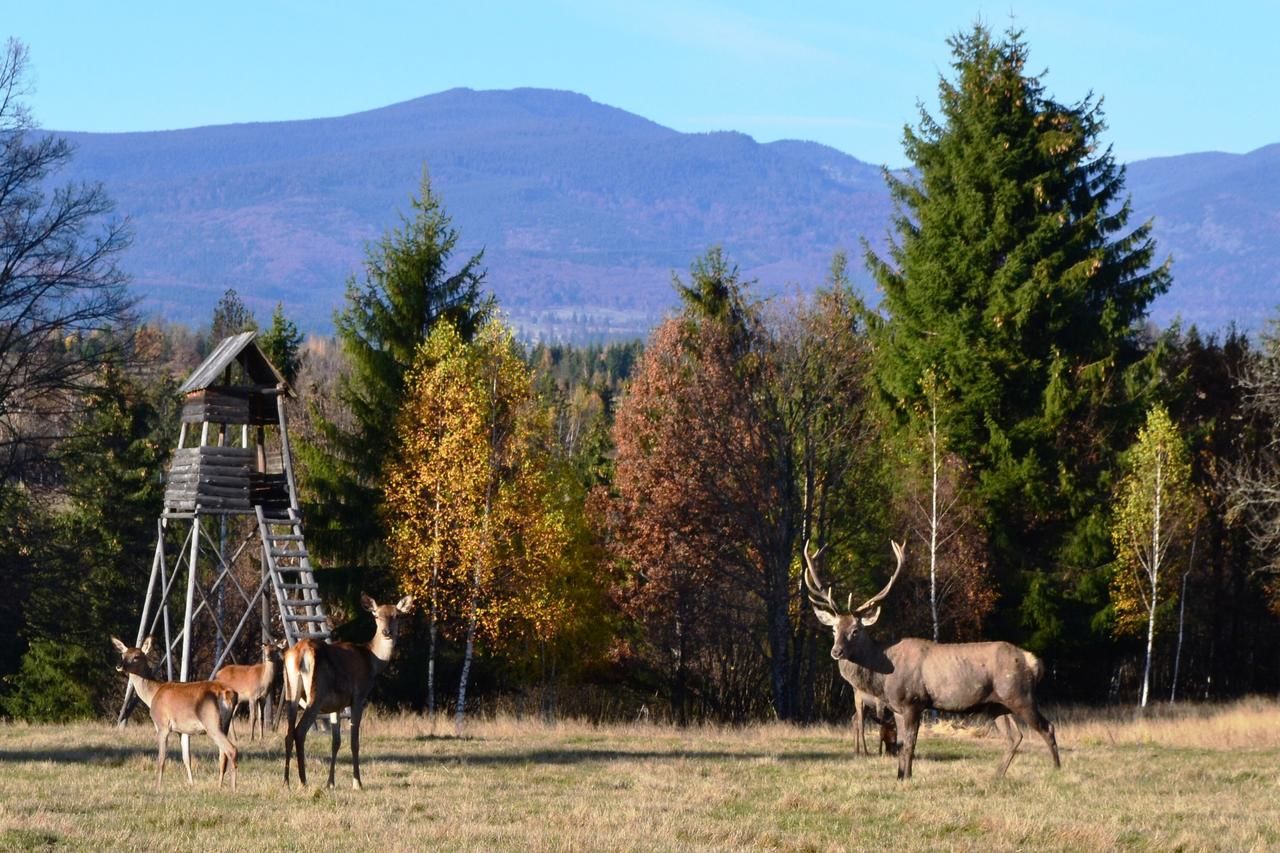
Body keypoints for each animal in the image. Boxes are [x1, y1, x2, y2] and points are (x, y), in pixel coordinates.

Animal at [110, 635, 240, 788]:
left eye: (136, 656)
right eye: (123, 655)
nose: (119, 666)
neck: (152, 695)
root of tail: (228, 693)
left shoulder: (162, 725)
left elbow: (161, 759)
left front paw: (157, 787)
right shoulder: (182, 730)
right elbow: (186, 758)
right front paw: (191, 784)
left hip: (211, 723)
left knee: (231, 750)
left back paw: (233, 788)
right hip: (224, 724)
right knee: (222, 755)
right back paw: (219, 786)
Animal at [282, 591, 412, 783]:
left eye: (397, 615)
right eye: (376, 615)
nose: (387, 632)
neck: (372, 661)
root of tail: (300, 652)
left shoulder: (336, 705)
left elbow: (335, 742)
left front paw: (330, 783)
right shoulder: (358, 696)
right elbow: (354, 741)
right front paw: (357, 781)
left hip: (291, 691)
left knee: (288, 733)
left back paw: (286, 781)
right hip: (316, 693)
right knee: (300, 731)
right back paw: (303, 781)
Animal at [803, 537, 1064, 778]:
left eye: (855, 630)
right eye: (834, 629)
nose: (836, 651)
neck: (883, 677)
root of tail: (1035, 662)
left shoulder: (912, 701)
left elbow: (909, 744)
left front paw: (907, 777)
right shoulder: (897, 708)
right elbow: (900, 743)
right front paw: (900, 776)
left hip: (1020, 694)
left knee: (1047, 727)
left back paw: (1056, 770)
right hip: (997, 704)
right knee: (1014, 736)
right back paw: (996, 775)